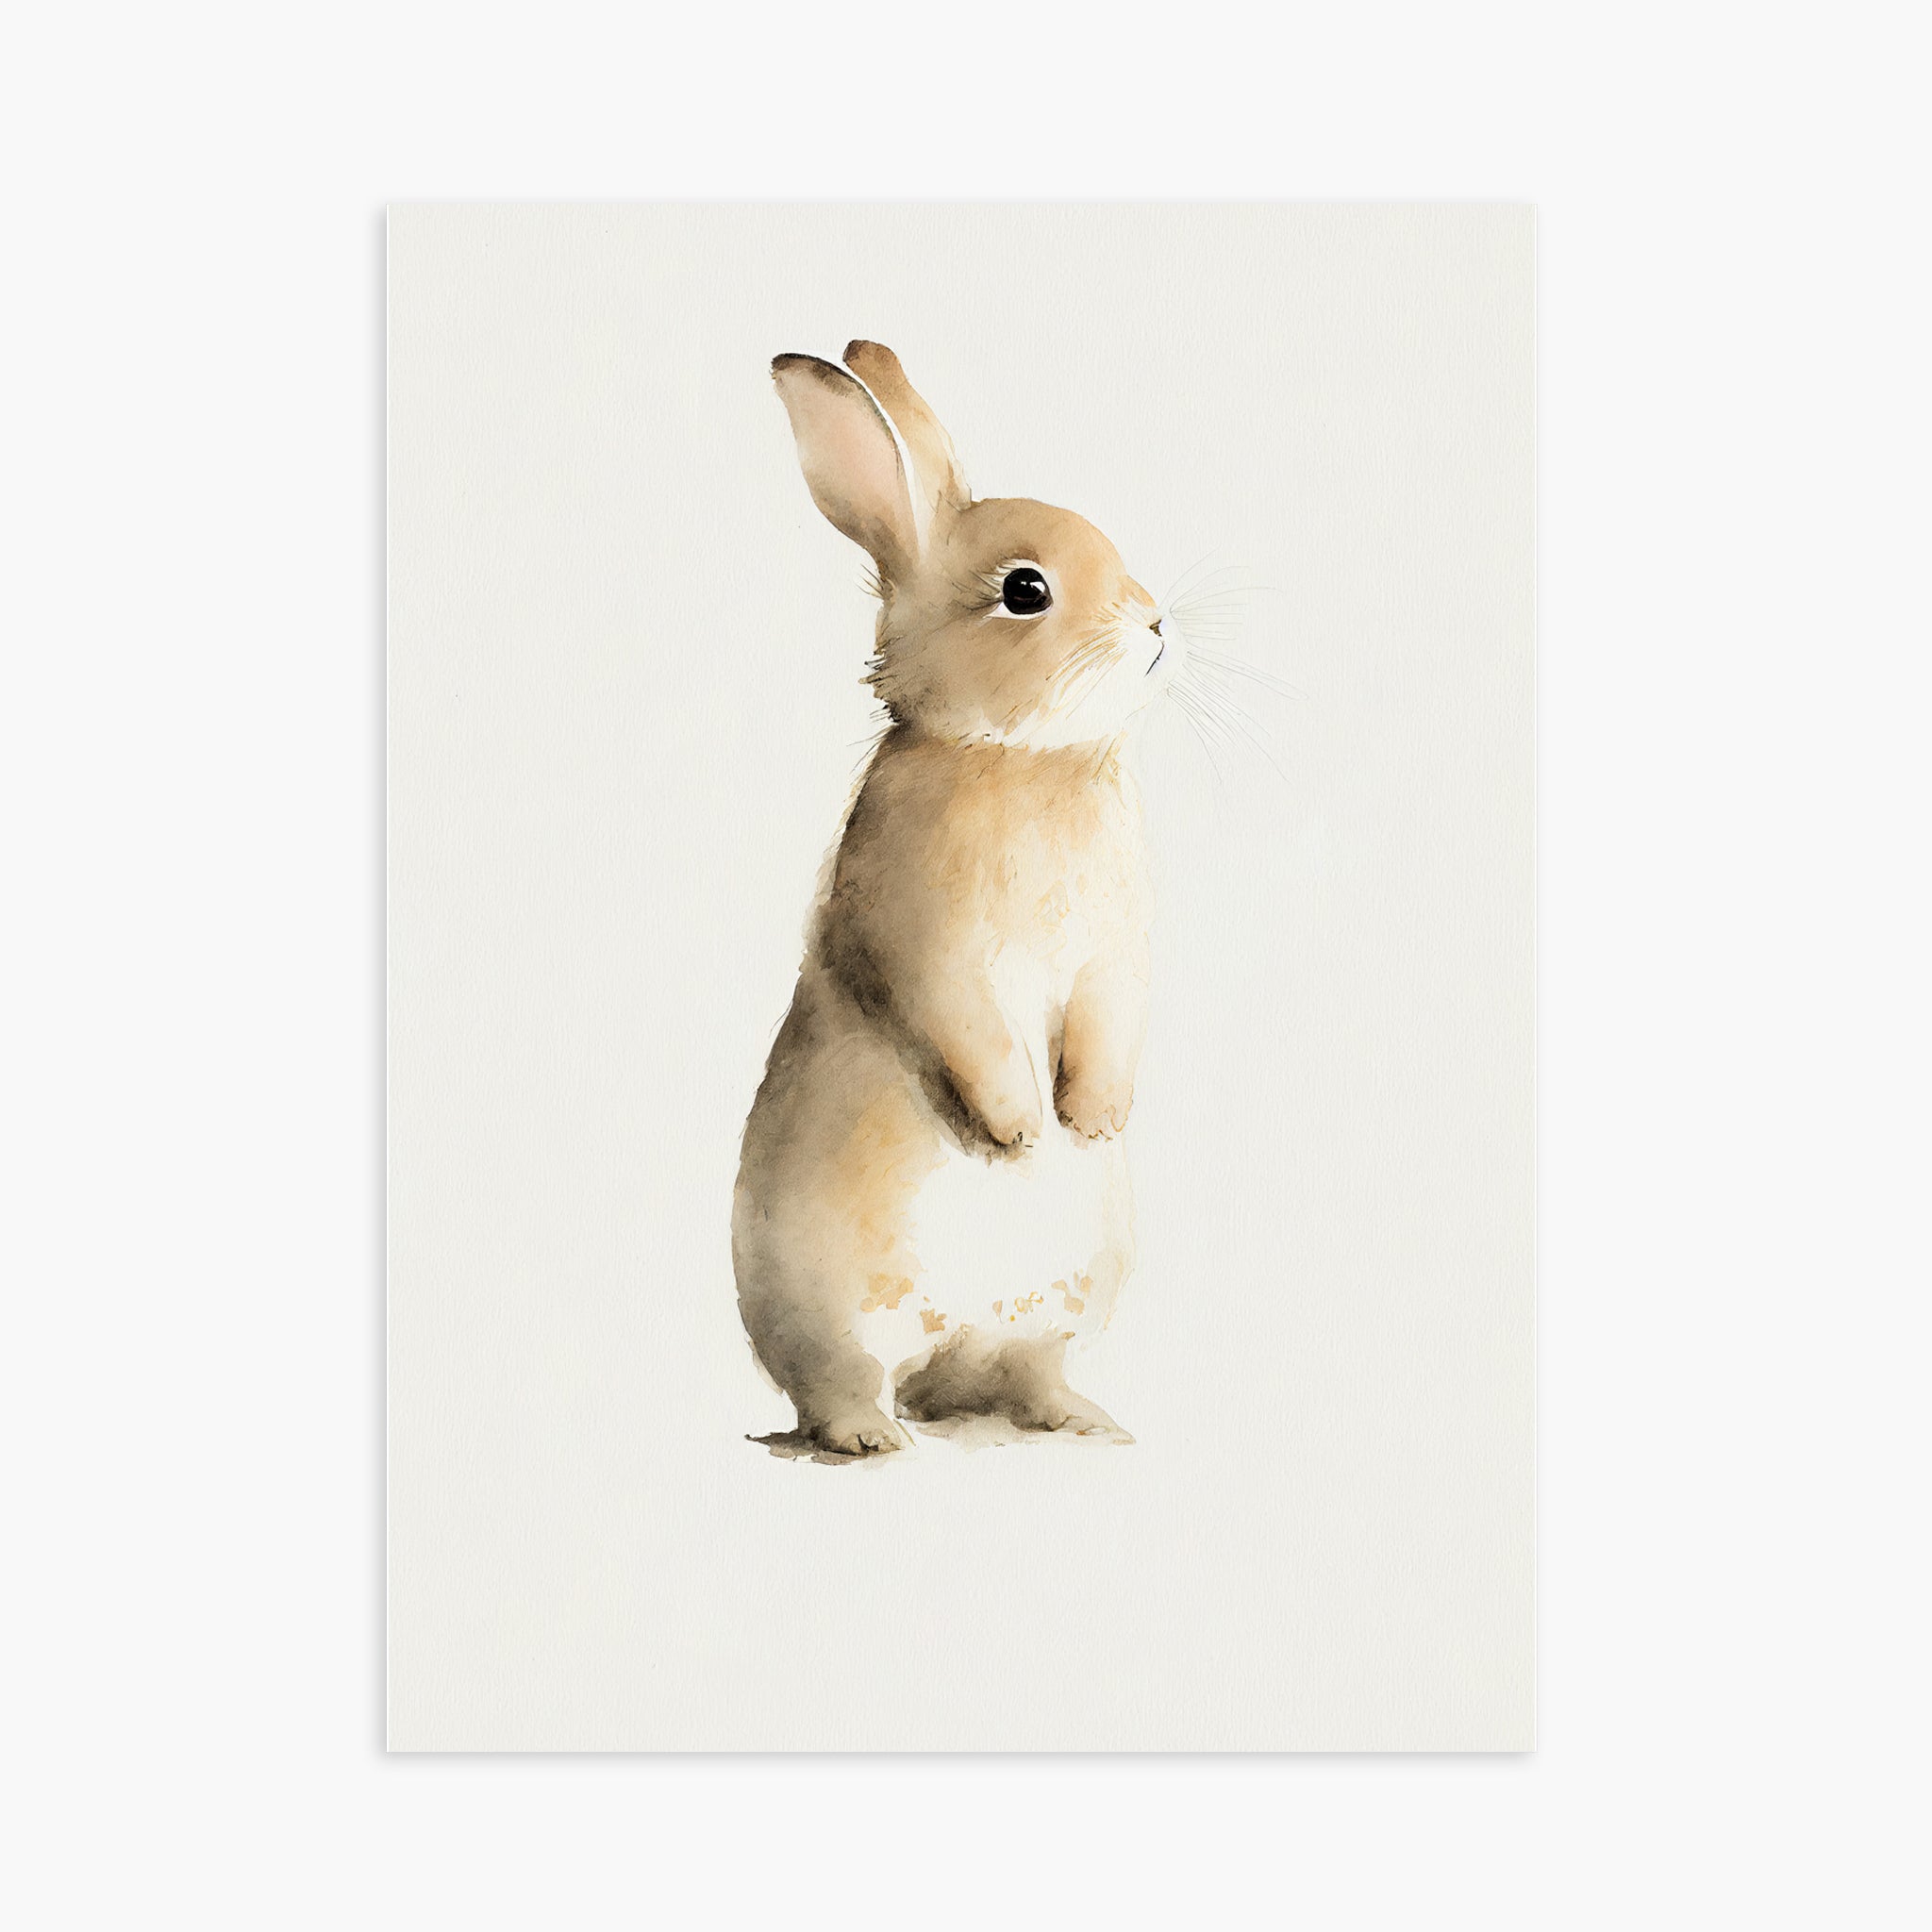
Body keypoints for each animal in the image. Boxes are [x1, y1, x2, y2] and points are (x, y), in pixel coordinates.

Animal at [734, 341, 1178, 1458]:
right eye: (1024, 590)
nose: (1157, 624)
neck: (1016, 757)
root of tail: (945, 1349)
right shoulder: (927, 946)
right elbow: (965, 1026)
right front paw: (1020, 1130)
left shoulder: (1116, 953)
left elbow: (1111, 1020)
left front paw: (1091, 1120)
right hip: (830, 1302)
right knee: (844, 1381)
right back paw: (870, 1439)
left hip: (1064, 1303)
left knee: (1019, 1372)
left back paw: (1083, 1422)